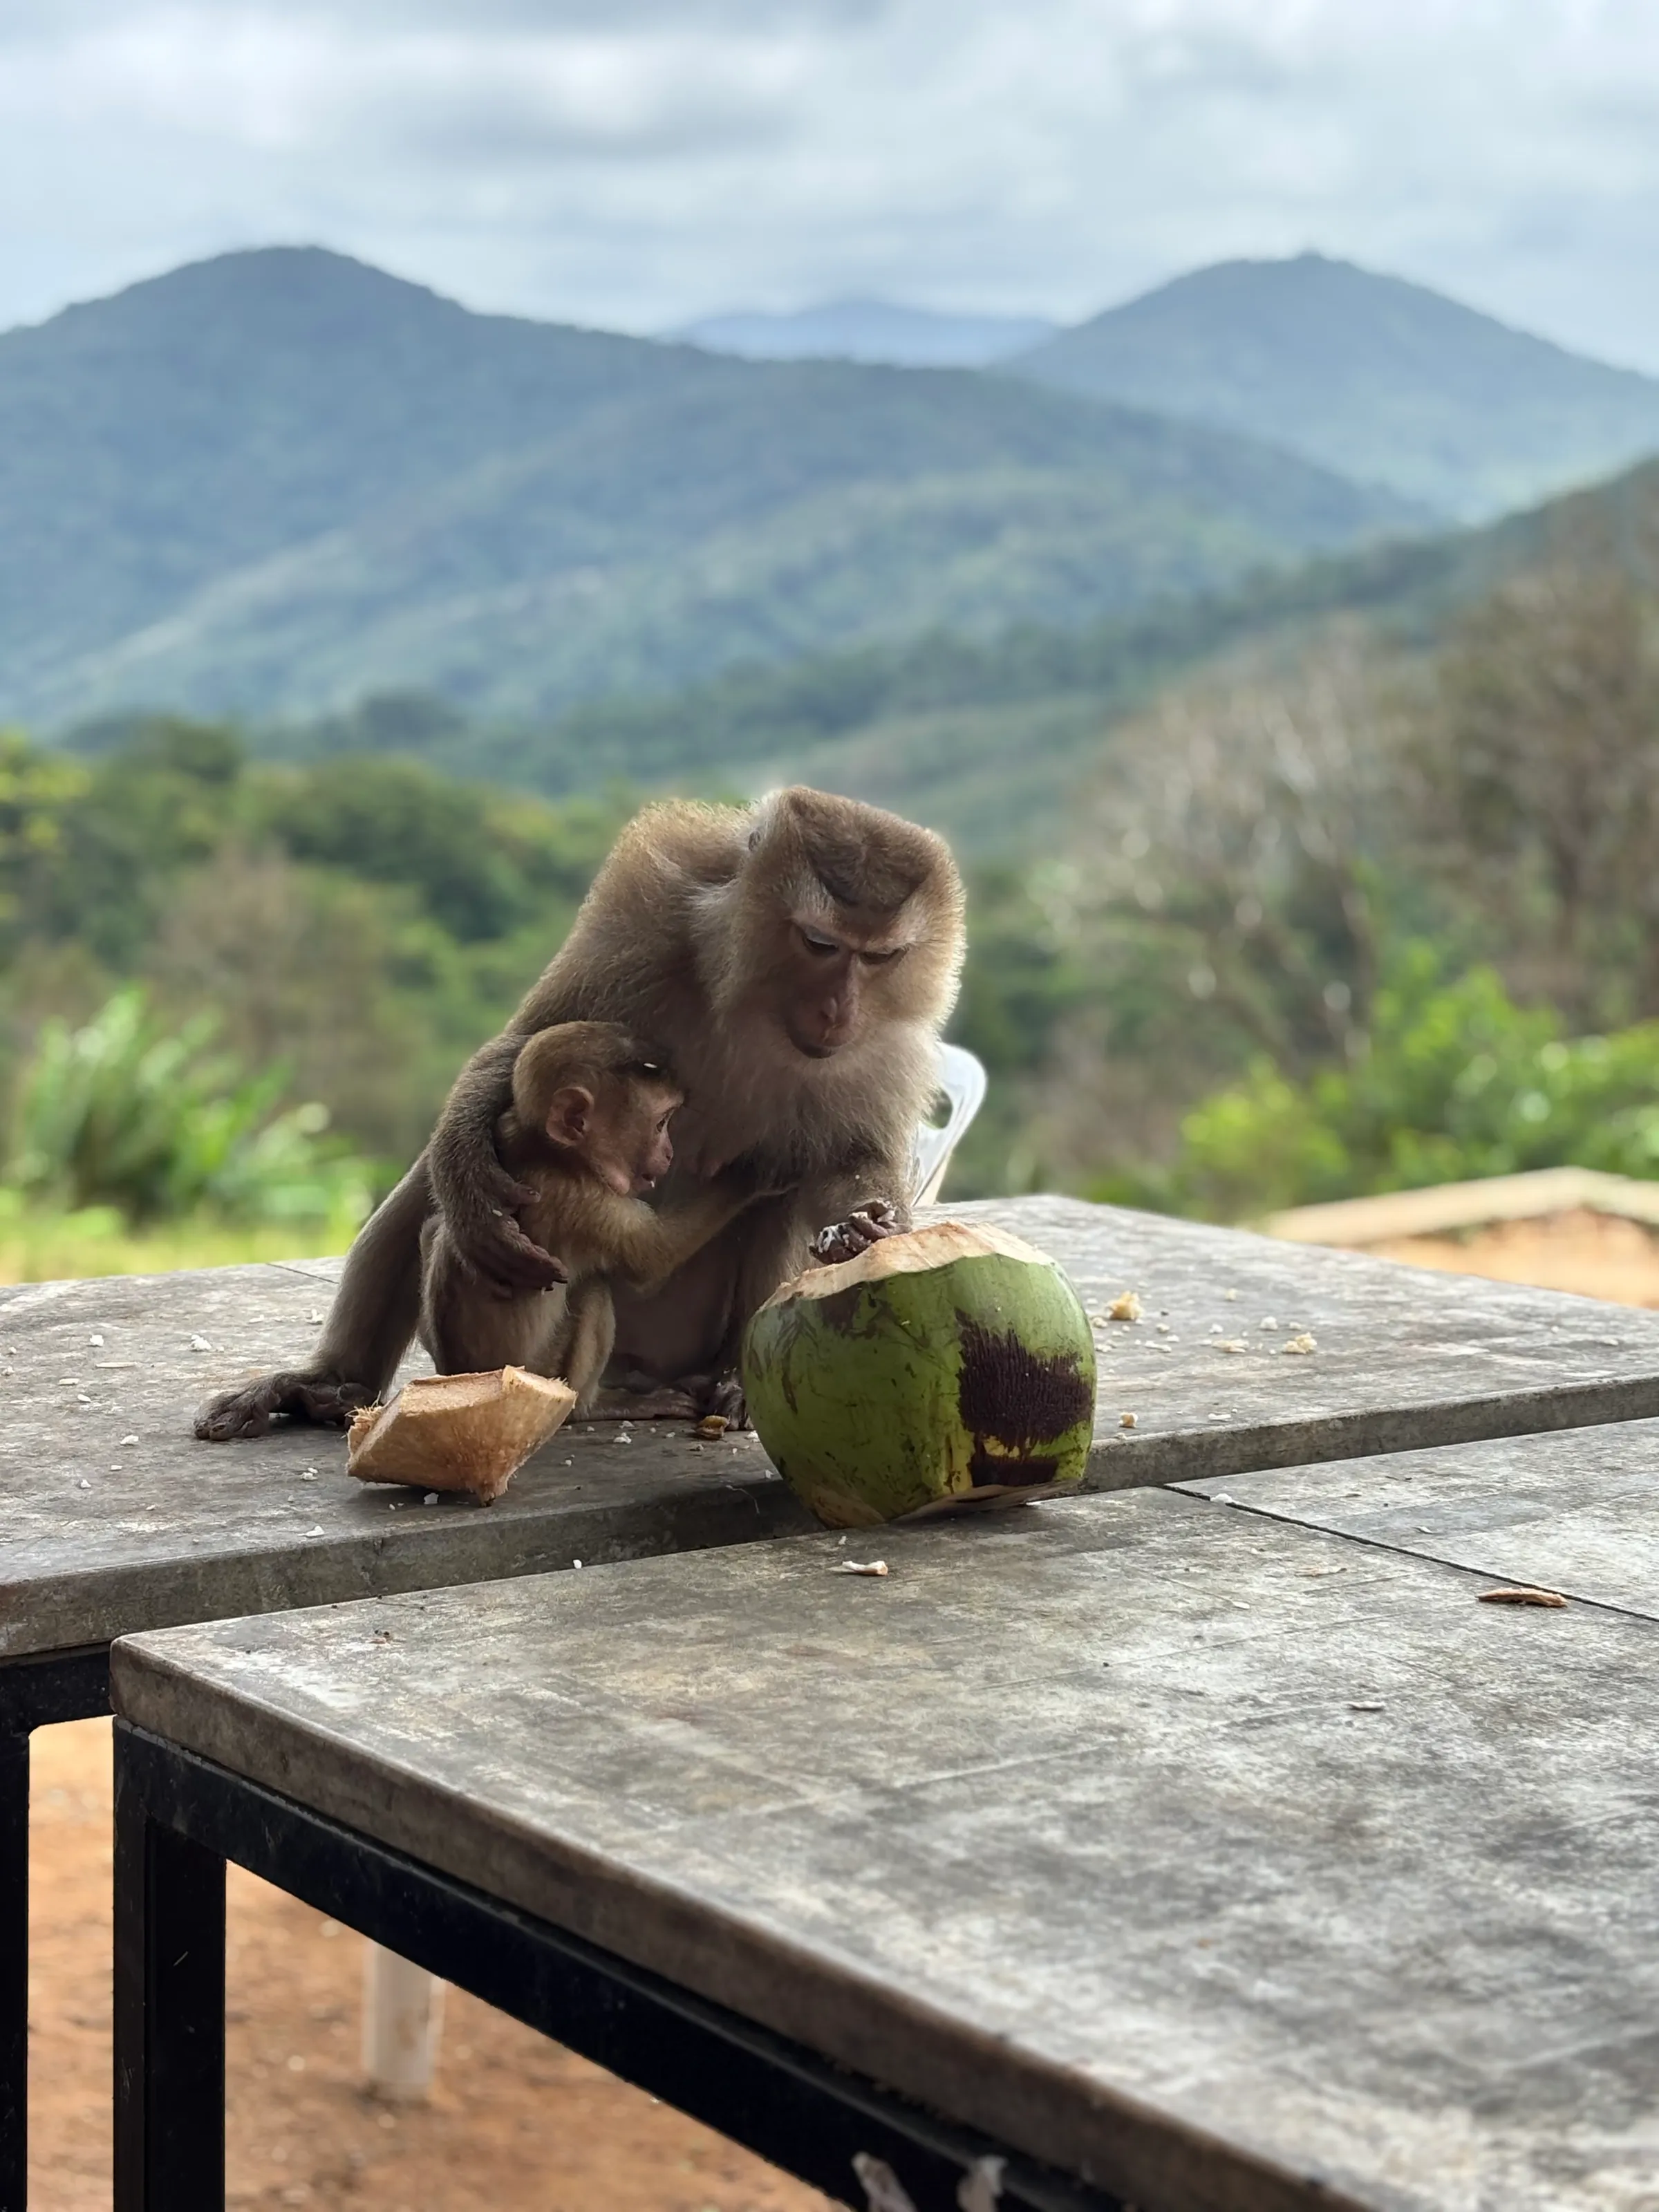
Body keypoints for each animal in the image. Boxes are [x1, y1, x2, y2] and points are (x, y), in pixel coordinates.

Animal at [418, 1021, 767, 1410]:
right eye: (661, 1124)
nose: (669, 1153)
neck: (546, 1149)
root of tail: (457, 1372)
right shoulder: (582, 1199)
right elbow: (651, 1258)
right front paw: (759, 1172)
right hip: (546, 1371)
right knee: (592, 1290)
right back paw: (600, 1404)